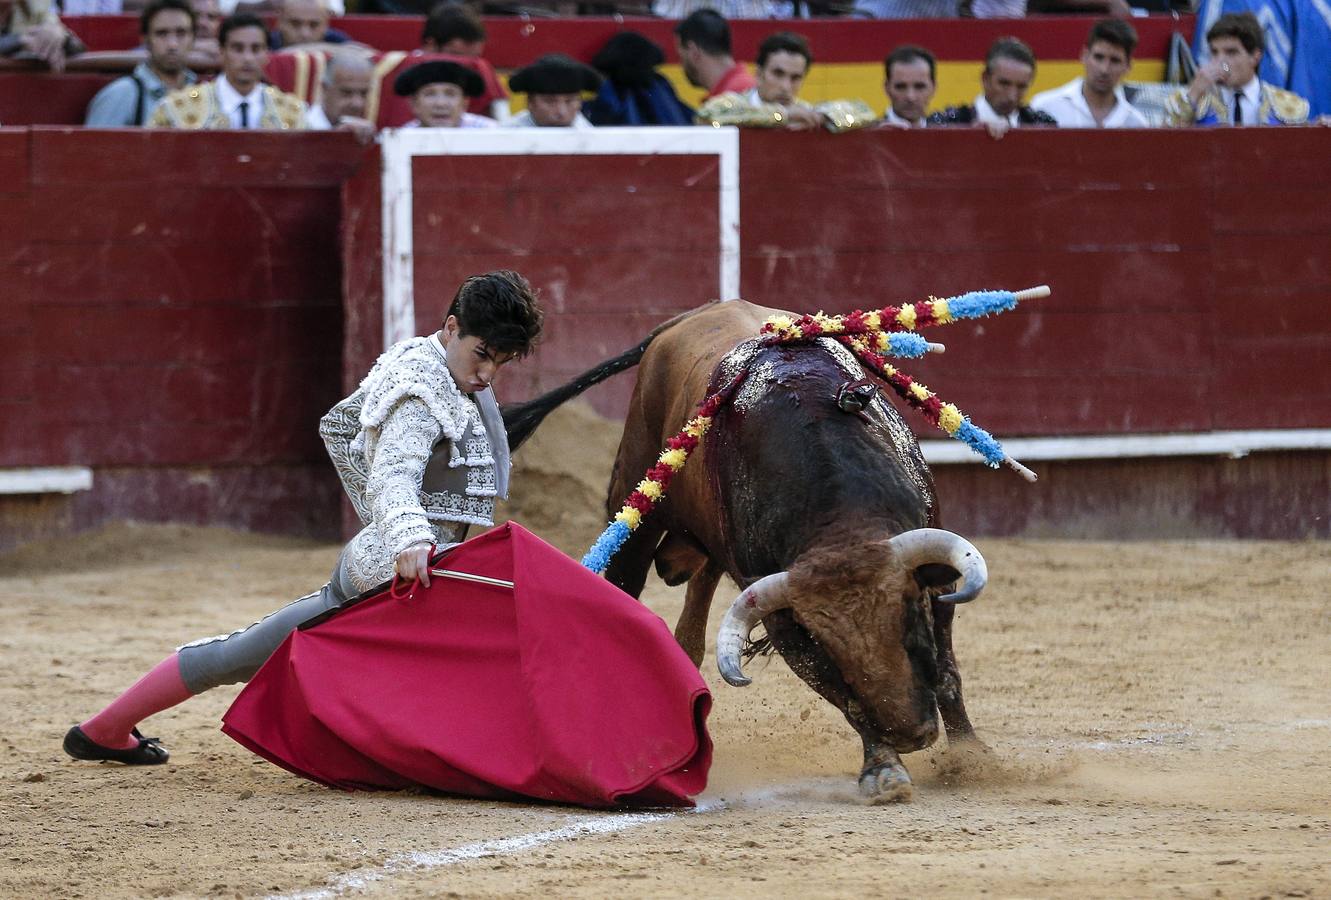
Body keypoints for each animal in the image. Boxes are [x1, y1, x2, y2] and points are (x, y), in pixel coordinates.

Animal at [503, 302, 995, 804]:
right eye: (828, 643)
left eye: (909, 614)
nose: (909, 734)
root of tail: (684, 320)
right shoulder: (783, 620)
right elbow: (843, 694)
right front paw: (884, 768)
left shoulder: (936, 577)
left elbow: (948, 671)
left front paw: (970, 755)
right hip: (635, 507)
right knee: (625, 585)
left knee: (696, 602)